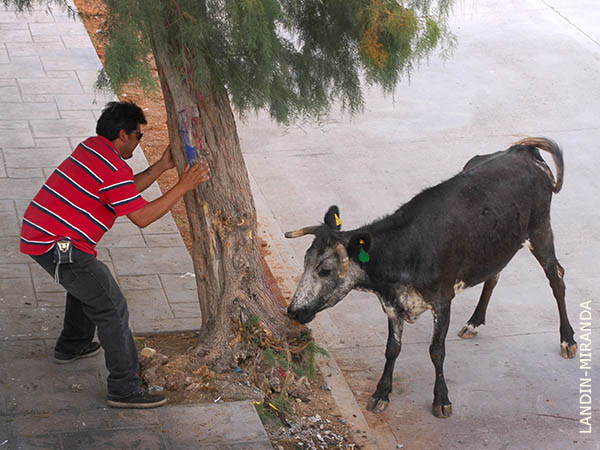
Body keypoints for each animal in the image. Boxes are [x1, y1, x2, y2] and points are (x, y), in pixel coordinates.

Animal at [286, 137, 576, 418]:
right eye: (305, 261)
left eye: (324, 270)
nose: (293, 311)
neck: (408, 250)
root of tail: (522, 150)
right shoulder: (393, 305)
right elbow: (392, 348)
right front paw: (382, 393)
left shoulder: (442, 299)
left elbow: (437, 351)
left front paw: (442, 400)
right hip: (498, 246)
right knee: (493, 276)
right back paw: (474, 322)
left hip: (540, 230)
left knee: (557, 278)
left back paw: (568, 340)